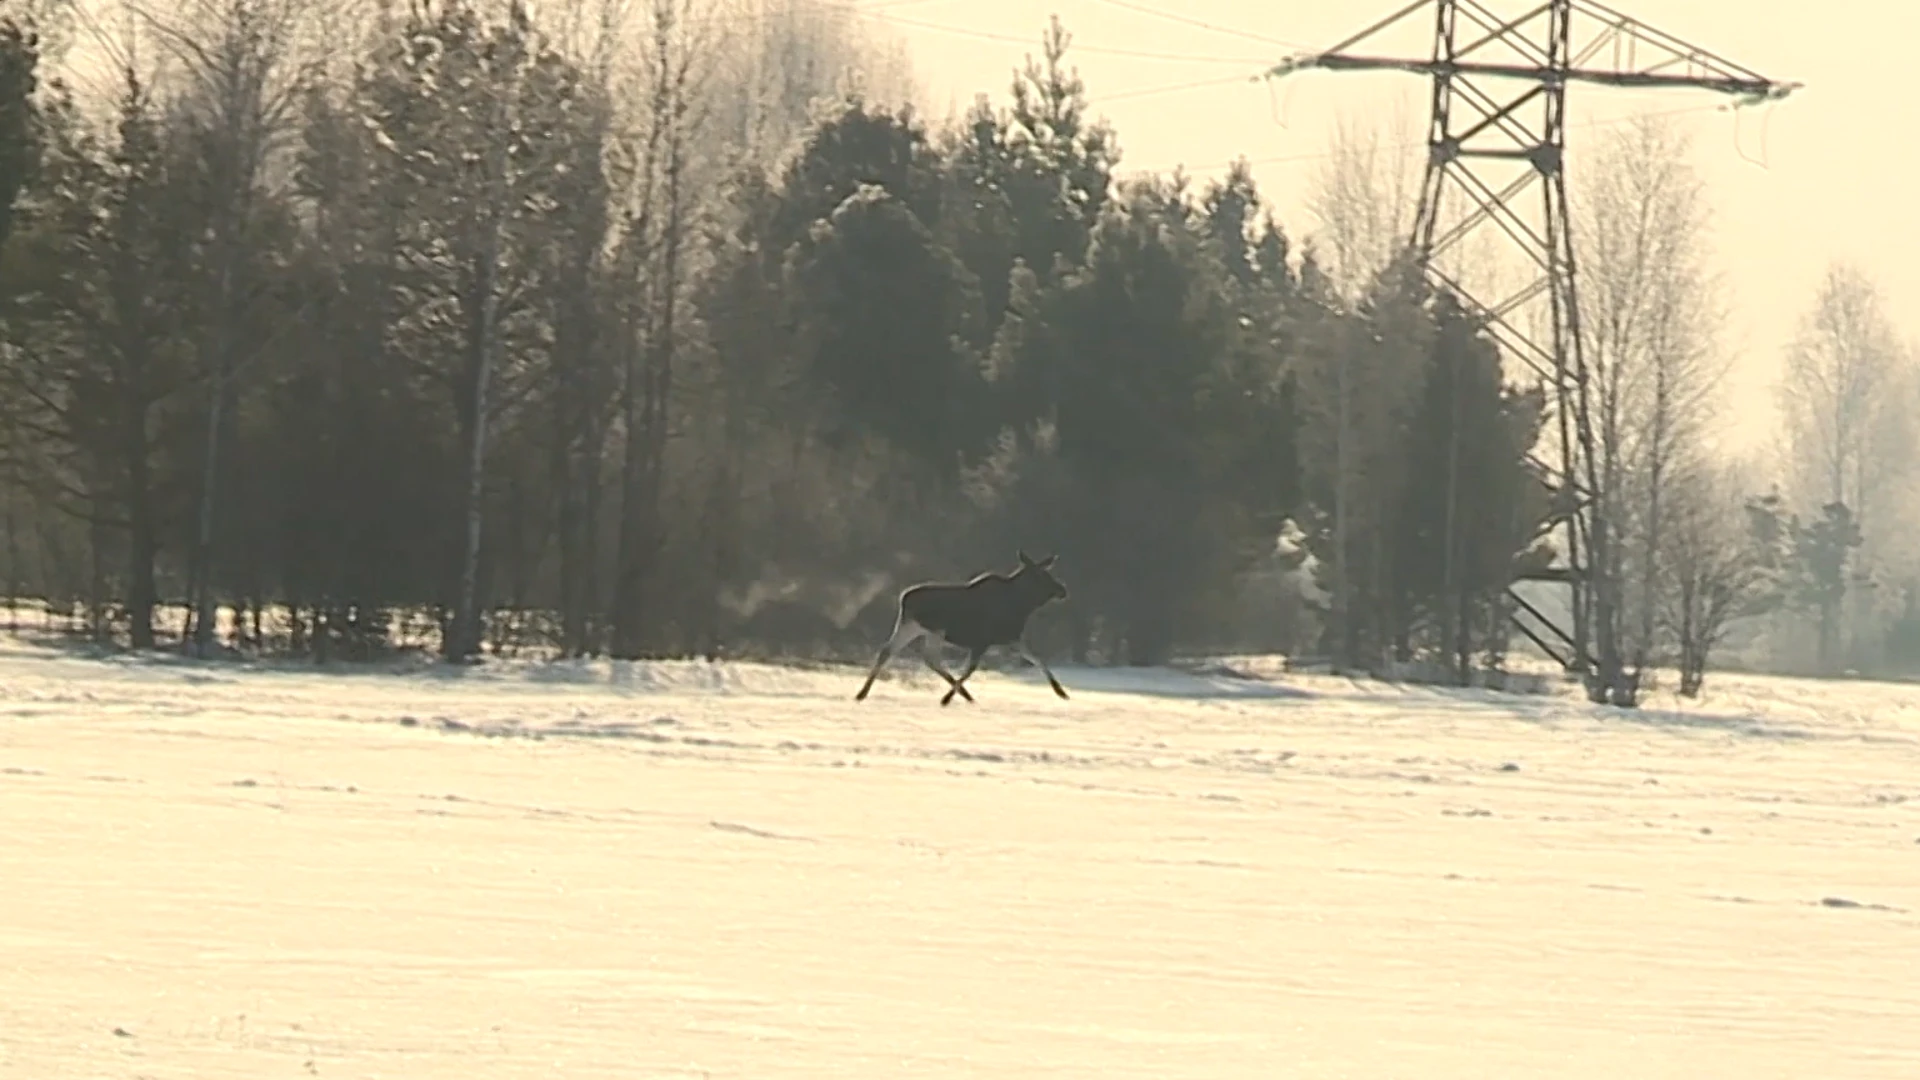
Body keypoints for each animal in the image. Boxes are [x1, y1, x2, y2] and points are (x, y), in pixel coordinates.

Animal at [852, 549, 1075, 703]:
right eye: (1042, 576)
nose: (1062, 590)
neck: (1023, 605)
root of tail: (903, 598)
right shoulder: (982, 641)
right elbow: (970, 669)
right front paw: (947, 698)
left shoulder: (1012, 638)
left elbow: (1037, 659)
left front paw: (1061, 692)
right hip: (933, 630)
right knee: (928, 658)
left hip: (913, 627)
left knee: (889, 652)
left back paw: (862, 692)